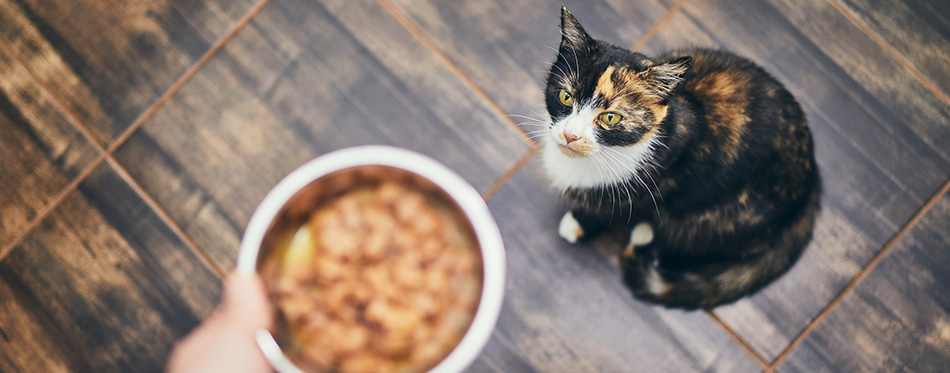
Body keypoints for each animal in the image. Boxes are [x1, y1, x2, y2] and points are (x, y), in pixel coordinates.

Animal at [548, 7, 820, 308]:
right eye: (565, 96)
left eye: (610, 118)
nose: (570, 135)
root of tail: (812, 178)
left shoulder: (650, 187)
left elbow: (611, 209)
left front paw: (579, 224)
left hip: (722, 217)